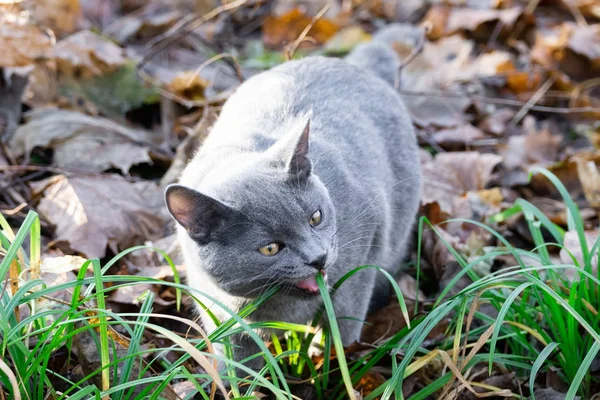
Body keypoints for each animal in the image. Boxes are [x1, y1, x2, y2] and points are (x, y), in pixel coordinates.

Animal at [164, 26, 422, 374]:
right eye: (270, 248)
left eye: (316, 218)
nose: (318, 258)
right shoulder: (218, 311)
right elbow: (239, 365)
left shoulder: (365, 244)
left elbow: (343, 325)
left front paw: (335, 366)